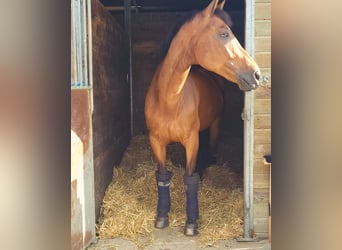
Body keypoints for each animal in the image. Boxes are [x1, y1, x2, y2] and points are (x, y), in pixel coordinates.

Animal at [144, 0, 260, 236]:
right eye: (224, 33)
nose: (257, 74)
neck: (170, 101)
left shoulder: (191, 141)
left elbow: (190, 179)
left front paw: (191, 223)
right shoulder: (156, 142)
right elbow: (162, 176)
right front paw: (162, 217)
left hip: (214, 125)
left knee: (212, 149)